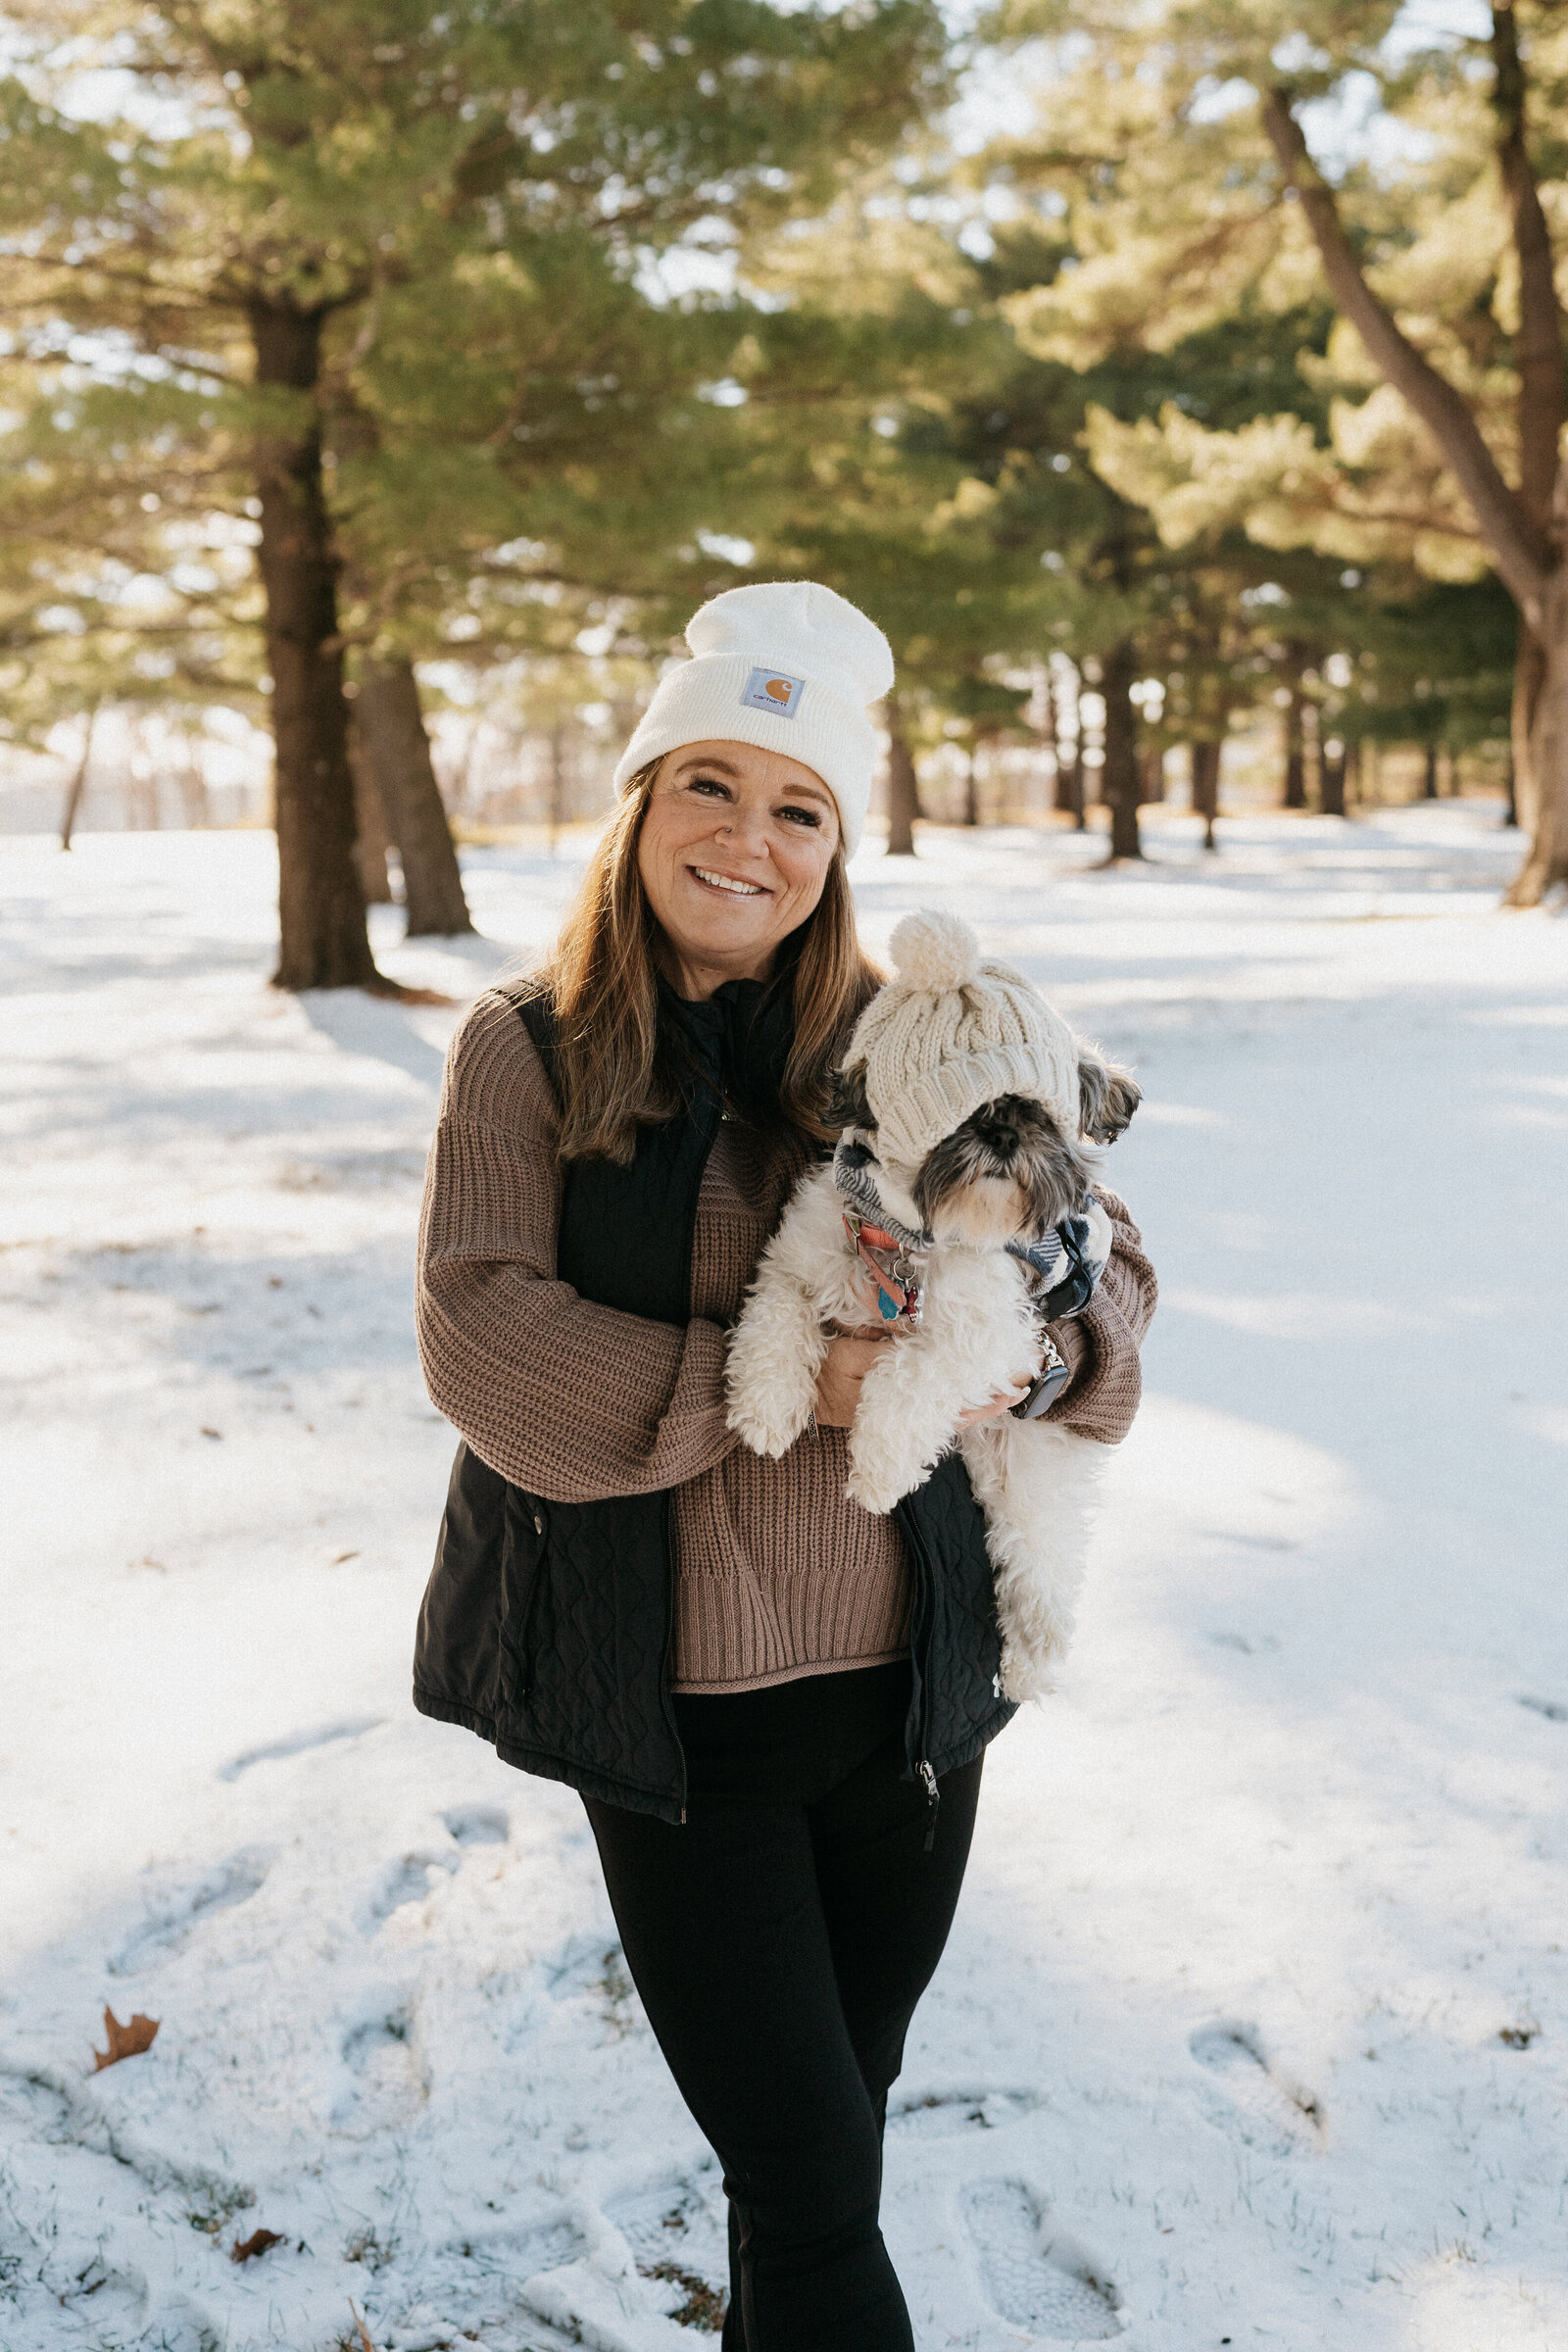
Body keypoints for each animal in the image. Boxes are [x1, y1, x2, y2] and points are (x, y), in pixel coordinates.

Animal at [723, 907, 1142, 1702]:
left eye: (1040, 1117)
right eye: (961, 1115)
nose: (1002, 1131)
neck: (914, 1239)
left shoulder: (996, 1340)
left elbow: (912, 1376)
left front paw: (879, 1471)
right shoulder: (798, 1260)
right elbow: (776, 1321)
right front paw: (765, 1409)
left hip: (1031, 1470)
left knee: (1042, 1566)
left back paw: (1032, 1662)